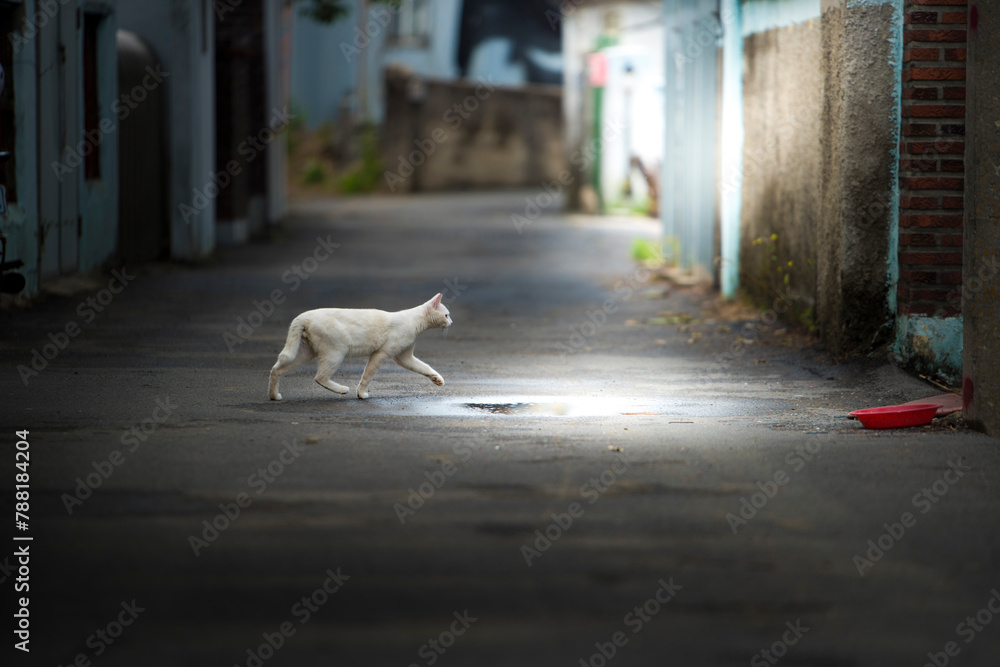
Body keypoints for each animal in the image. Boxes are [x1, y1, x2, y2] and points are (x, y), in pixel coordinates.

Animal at [268, 294, 452, 402]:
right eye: (446, 315)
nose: (451, 322)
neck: (415, 321)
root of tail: (303, 316)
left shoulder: (404, 357)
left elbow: (424, 367)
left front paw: (438, 380)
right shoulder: (381, 353)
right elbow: (368, 375)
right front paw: (361, 394)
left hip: (305, 353)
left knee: (276, 370)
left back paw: (274, 396)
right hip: (336, 352)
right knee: (320, 377)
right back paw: (342, 389)